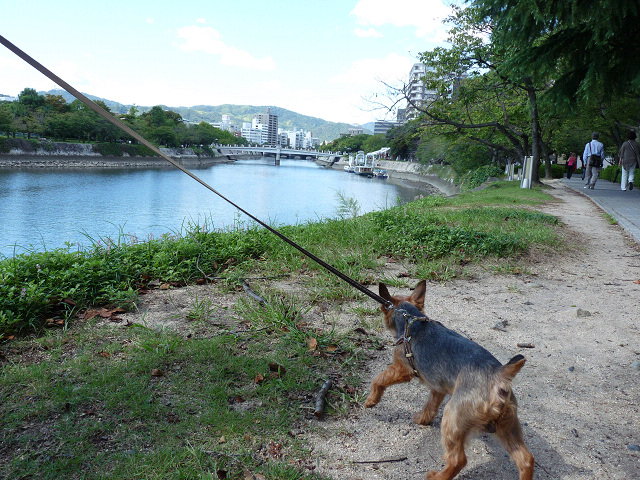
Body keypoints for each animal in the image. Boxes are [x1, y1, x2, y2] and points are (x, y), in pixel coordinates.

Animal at [364, 280, 534, 480]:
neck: (410, 319)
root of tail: (499, 374)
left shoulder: (401, 369)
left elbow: (378, 379)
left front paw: (371, 400)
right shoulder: (438, 389)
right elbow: (430, 406)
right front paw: (422, 419)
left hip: (453, 417)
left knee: (458, 460)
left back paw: (437, 476)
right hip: (508, 425)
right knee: (525, 459)